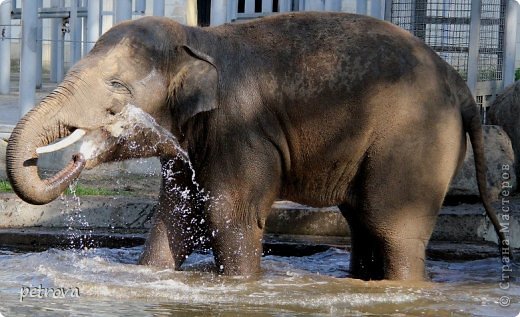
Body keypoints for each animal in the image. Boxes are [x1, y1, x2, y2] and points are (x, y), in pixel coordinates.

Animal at [6, 11, 506, 278]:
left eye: (116, 89)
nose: (74, 156)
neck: (198, 37)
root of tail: (461, 85)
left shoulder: (240, 128)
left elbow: (231, 217)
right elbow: (174, 219)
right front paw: (151, 272)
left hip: (413, 142)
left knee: (393, 229)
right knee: (365, 223)